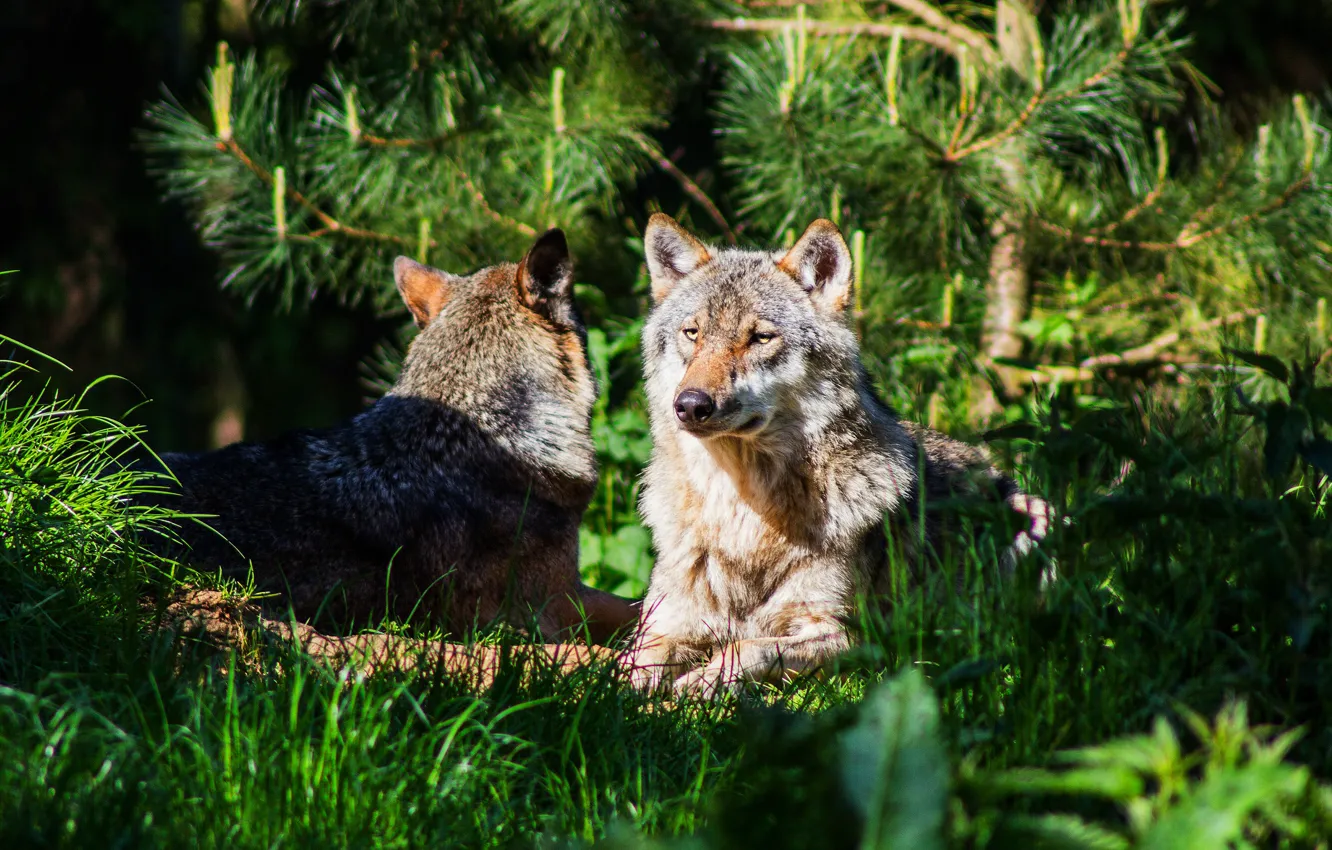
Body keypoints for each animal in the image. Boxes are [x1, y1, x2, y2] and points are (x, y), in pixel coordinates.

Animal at [623, 214, 1049, 698]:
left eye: (760, 338)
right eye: (692, 333)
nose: (691, 404)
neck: (742, 516)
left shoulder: (854, 639)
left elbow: (747, 648)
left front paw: (698, 685)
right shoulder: (666, 625)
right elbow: (629, 664)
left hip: (1035, 517)